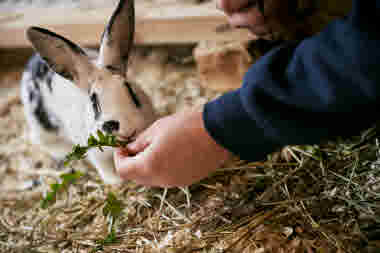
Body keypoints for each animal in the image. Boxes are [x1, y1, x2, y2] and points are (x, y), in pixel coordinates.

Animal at [20, 0, 157, 183]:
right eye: (94, 102)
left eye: (130, 89)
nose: (128, 130)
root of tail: (32, 63)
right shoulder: (96, 154)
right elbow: (105, 167)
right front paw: (116, 181)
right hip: (40, 124)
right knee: (41, 140)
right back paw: (62, 152)